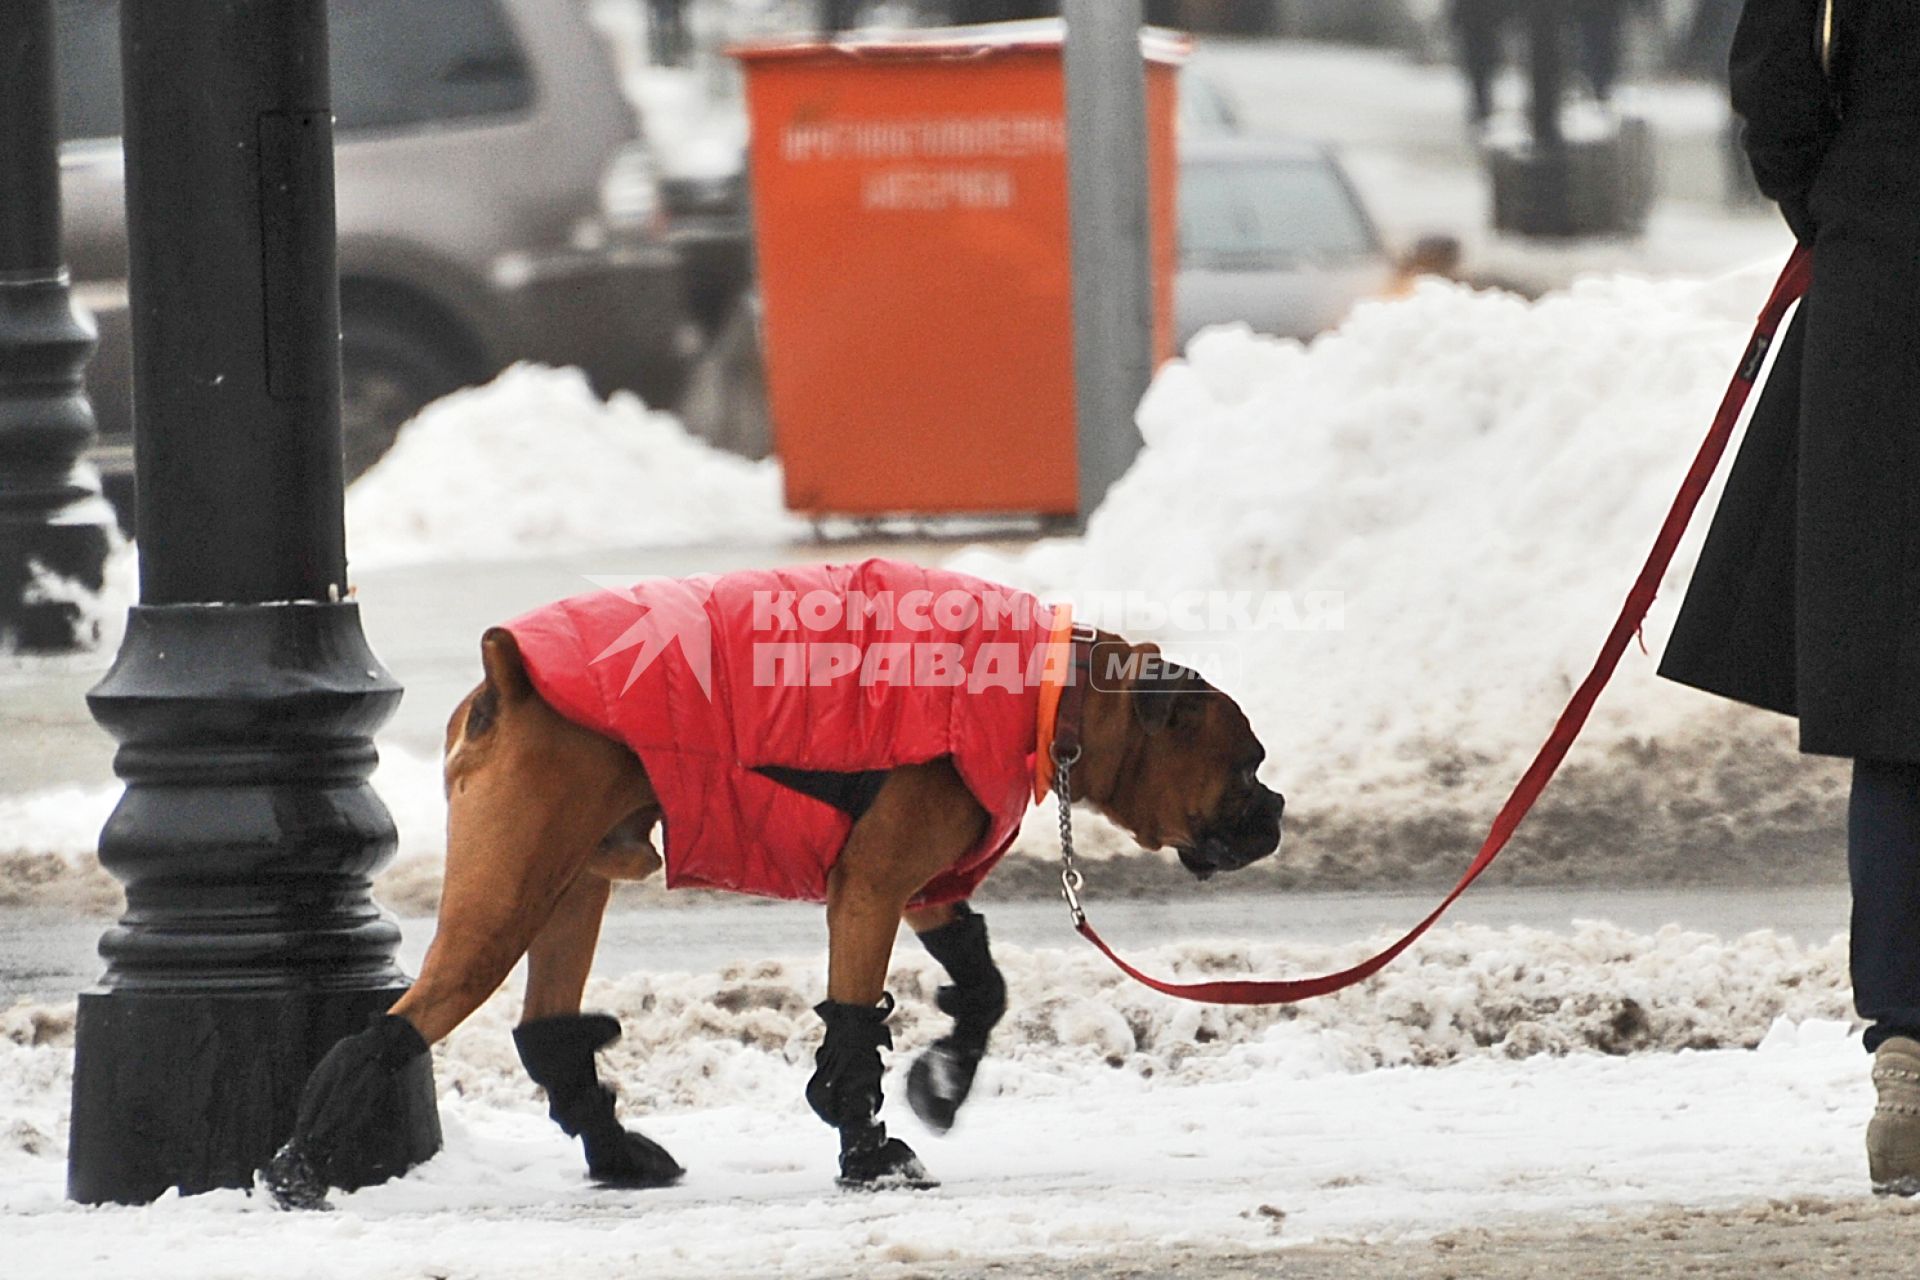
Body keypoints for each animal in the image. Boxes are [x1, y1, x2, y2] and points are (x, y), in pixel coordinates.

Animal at [263, 564, 1282, 1205]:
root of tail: (508, 678)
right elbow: (853, 1033)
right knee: (392, 1031)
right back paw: (299, 1169)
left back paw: (615, 1154)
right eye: (1247, 765)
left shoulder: (926, 890)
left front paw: (945, 1078)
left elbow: (983, 986)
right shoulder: (871, 888)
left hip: (570, 883)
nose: (1275, 810)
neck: (1051, 694)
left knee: (548, 1031)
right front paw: (868, 1152)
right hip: (502, 903)